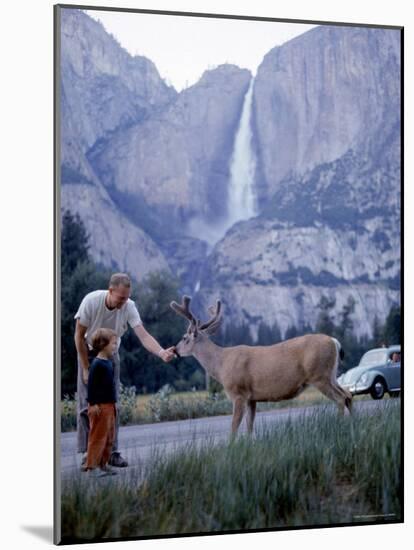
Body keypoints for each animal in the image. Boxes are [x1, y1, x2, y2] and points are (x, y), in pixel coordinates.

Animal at [171, 296, 352, 438]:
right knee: (348, 394)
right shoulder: (252, 398)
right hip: (331, 375)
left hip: (319, 375)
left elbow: (234, 427)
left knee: (340, 398)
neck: (221, 364)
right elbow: (250, 427)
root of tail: (334, 342)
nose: (175, 350)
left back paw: (340, 427)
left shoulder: (238, 392)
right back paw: (353, 424)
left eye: (184, 337)